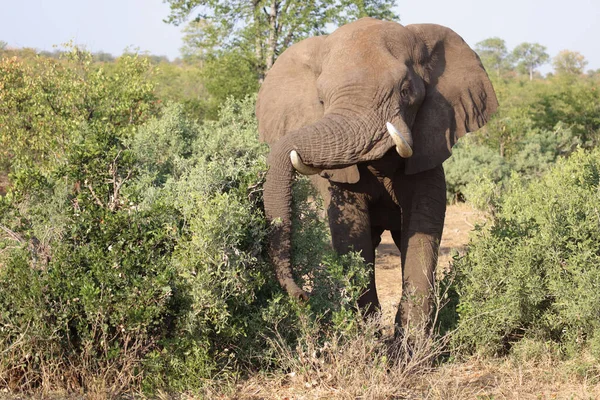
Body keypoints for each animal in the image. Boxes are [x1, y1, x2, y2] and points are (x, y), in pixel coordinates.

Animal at [255, 17, 500, 328]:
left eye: (406, 91)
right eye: (321, 100)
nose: (302, 296)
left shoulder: (428, 148)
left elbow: (421, 231)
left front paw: (410, 340)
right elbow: (351, 234)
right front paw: (369, 334)